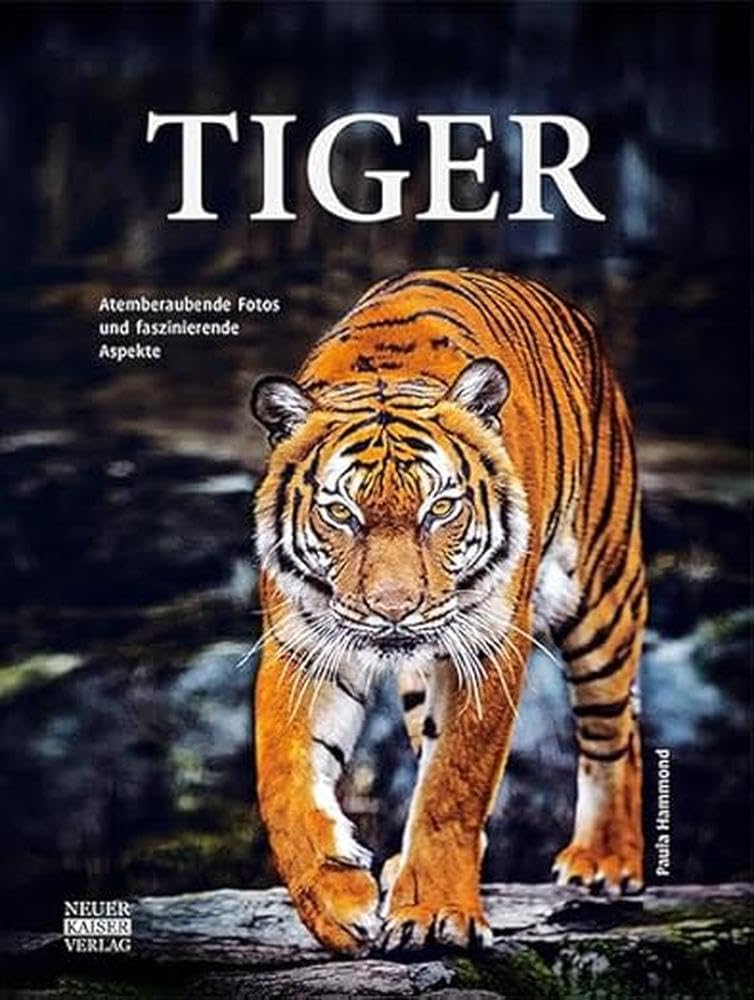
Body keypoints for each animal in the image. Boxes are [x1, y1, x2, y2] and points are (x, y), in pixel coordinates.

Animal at [250, 268, 647, 955]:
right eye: (340, 513)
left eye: (439, 509)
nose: (394, 611)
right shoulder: (304, 645)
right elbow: (286, 777)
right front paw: (338, 905)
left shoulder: (486, 644)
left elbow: (453, 784)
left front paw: (435, 916)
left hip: (603, 600)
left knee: (615, 731)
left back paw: (607, 860)